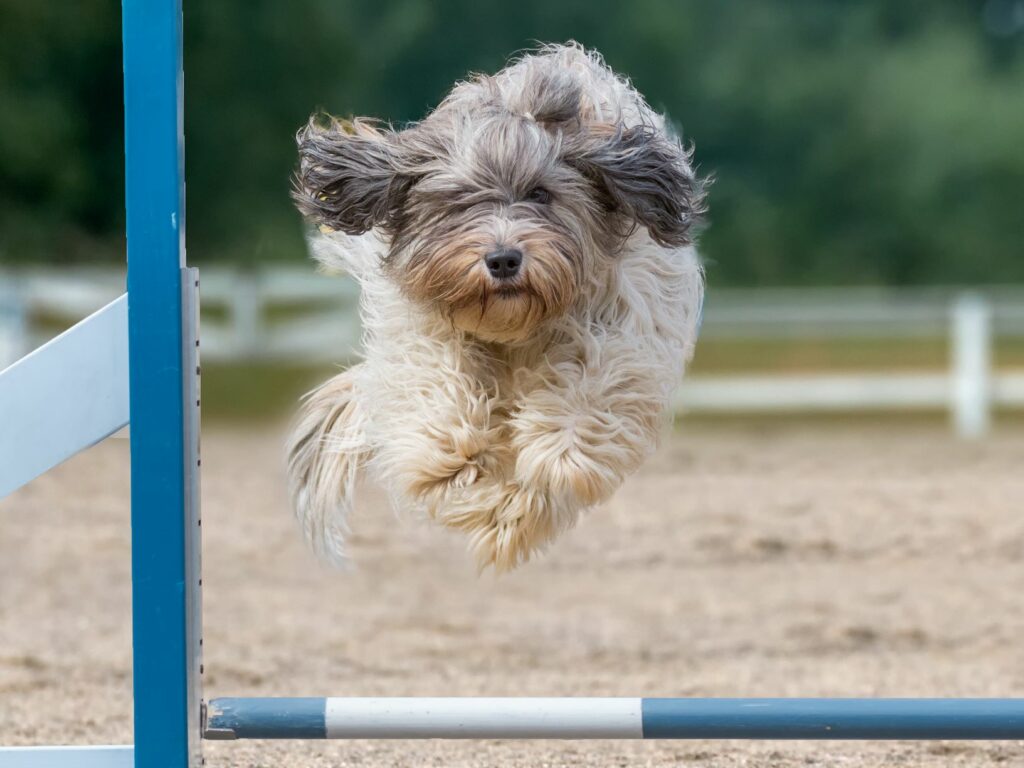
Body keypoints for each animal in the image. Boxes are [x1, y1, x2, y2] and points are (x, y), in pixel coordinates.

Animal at [286, 41, 704, 573]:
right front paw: (451, 455)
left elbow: (590, 382)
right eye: (462, 200)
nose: (503, 259)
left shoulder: (622, 317)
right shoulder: (419, 326)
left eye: (541, 193)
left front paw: (560, 447)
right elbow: (436, 380)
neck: (515, 328)